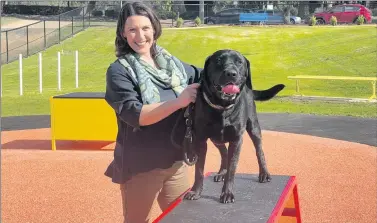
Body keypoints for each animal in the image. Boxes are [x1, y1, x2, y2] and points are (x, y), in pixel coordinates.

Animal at [181, 49, 284, 204]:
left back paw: (264, 173)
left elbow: (232, 168)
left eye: (239, 62)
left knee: (259, 151)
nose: (231, 73)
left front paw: (227, 193)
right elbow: (199, 170)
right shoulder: (200, 139)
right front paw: (195, 191)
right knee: (223, 152)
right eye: (218, 60)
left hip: (253, 127)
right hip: (216, 138)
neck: (222, 108)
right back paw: (221, 172)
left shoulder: (236, 139)